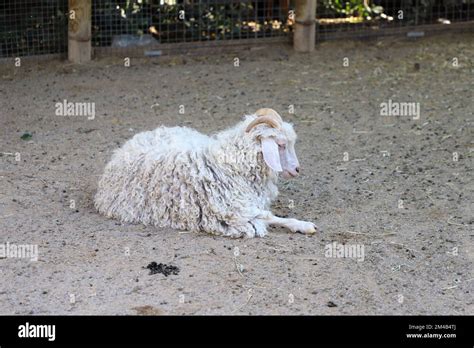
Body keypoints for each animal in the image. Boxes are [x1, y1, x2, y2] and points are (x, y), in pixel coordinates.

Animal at [95, 109, 318, 238]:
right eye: (281, 144)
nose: (297, 169)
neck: (230, 163)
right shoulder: (231, 211)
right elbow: (268, 217)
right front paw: (304, 225)